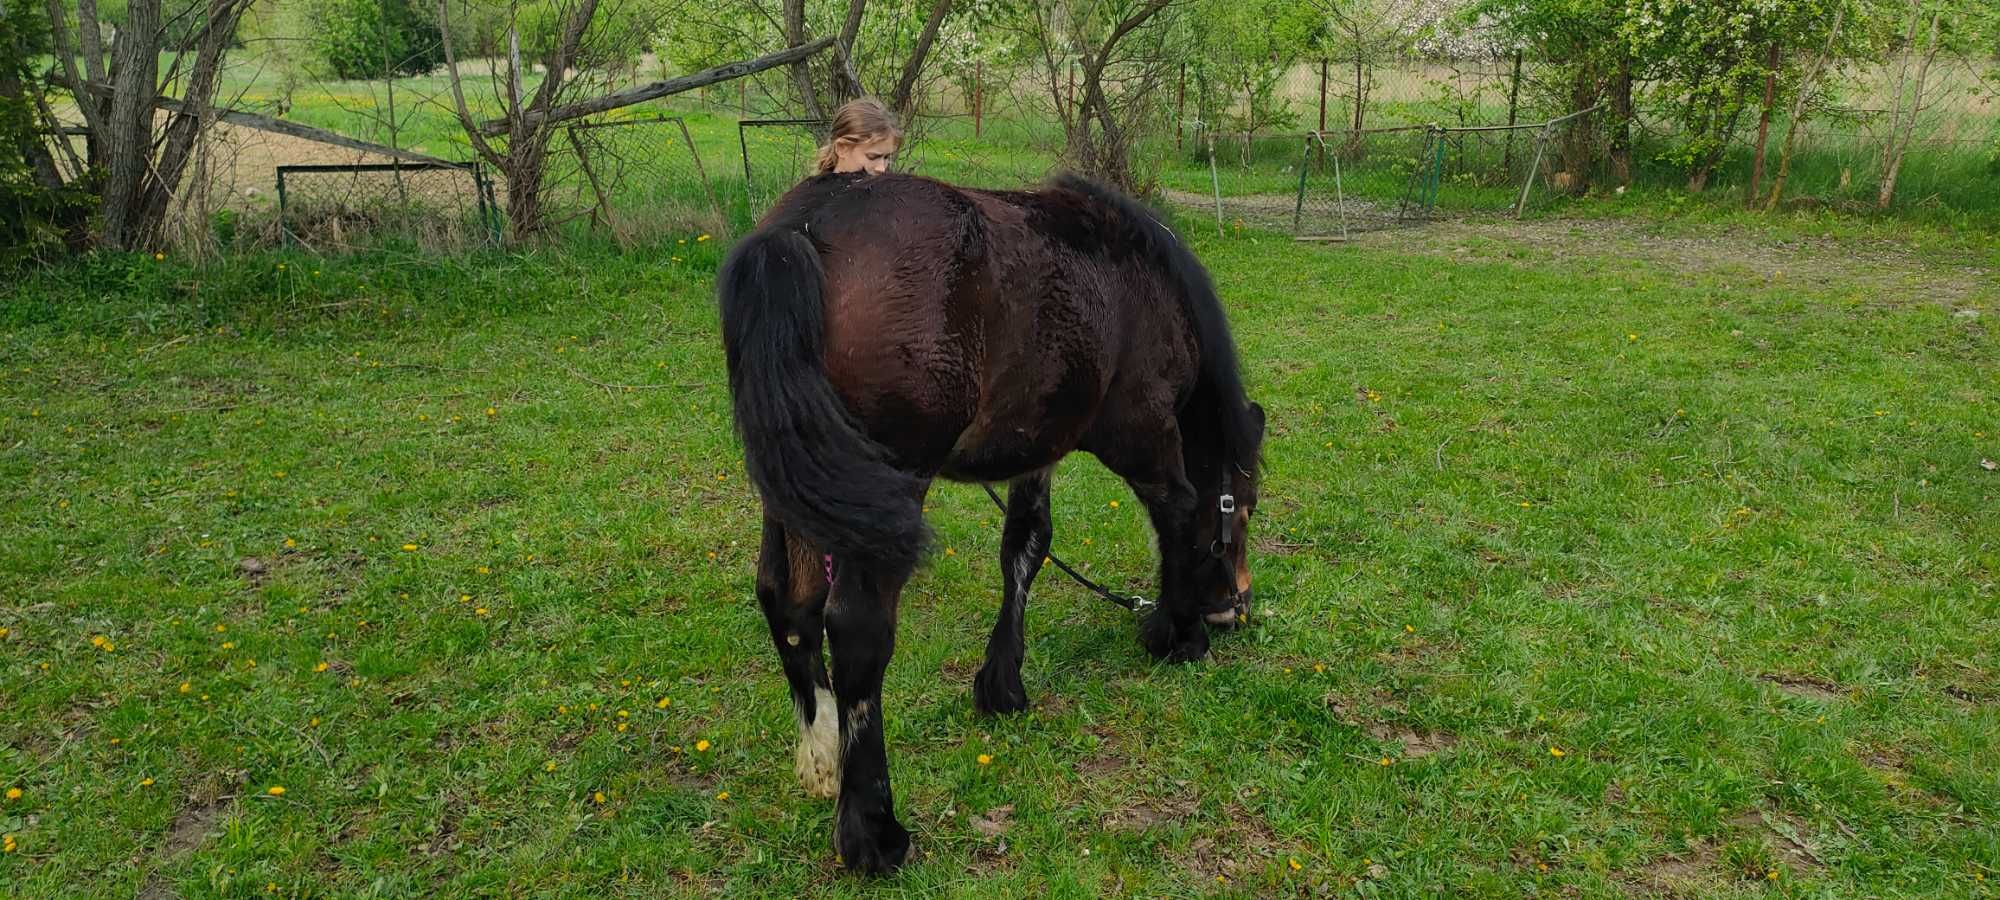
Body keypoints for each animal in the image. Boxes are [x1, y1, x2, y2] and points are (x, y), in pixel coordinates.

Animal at [716, 169, 1264, 872]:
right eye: (1244, 507)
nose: (1233, 608)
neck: (1143, 284)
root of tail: (801, 230)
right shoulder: (1143, 433)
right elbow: (1177, 511)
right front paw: (1177, 632)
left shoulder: (1039, 446)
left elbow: (1025, 546)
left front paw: (1002, 685)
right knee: (858, 629)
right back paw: (874, 833)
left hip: (797, 486)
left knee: (787, 603)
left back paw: (823, 759)